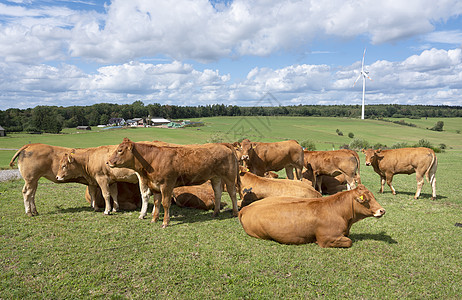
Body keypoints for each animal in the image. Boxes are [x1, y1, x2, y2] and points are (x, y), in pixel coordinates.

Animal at [106, 138, 240, 227]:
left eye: (120, 150)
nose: (108, 162)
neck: (152, 160)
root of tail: (222, 144)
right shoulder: (155, 186)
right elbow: (157, 203)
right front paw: (154, 219)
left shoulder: (167, 185)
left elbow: (165, 203)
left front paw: (165, 222)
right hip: (216, 177)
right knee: (218, 193)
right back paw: (215, 212)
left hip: (229, 176)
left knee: (232, 193)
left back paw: (235, 212)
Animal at [238, 184, 386, 247]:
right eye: (366, 200)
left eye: (373, 196)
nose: (382, 210)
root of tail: (246, 208)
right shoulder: (327, 238)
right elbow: (349, 242)